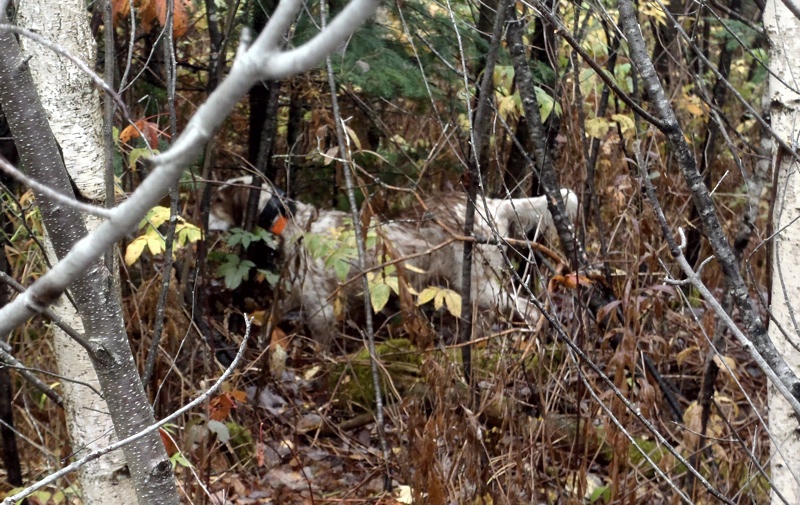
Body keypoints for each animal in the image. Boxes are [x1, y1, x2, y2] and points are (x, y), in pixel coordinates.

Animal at [209, 176, 580, 346]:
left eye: (217, 200)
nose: (198, 212)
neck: (294, 223)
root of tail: (492, 204)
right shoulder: (292, 291)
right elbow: (271, 315)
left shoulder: (320, 307)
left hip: (483, 286)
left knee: (531, 309)